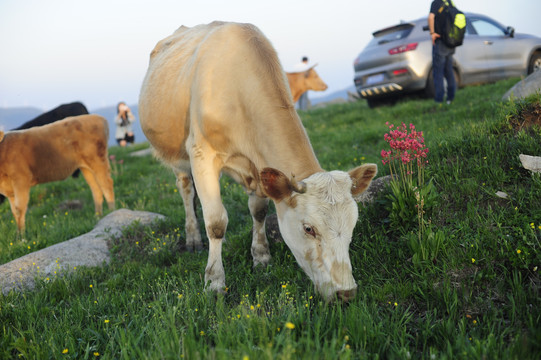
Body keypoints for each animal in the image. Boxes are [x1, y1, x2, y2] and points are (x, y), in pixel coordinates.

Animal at [139, 21, 376, 302]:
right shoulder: (201, 153)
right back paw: (193, 238)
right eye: (309, 229)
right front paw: (214, 282)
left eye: (353, 224)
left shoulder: (259, 168)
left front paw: (261, 257)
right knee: (186, 191)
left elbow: (259, 210)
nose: (346, 292)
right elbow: (216, 223)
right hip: (178, 156)